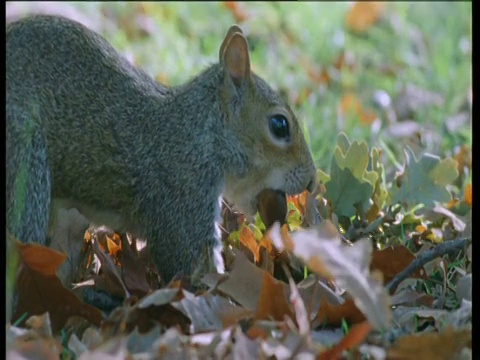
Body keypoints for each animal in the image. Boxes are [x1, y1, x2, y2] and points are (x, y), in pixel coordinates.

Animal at [5, 15, 318, 286]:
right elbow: (195, 270)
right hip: (26, 164)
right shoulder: (183, 196)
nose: (312, 181)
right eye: (279, 125)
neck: (198, 133)